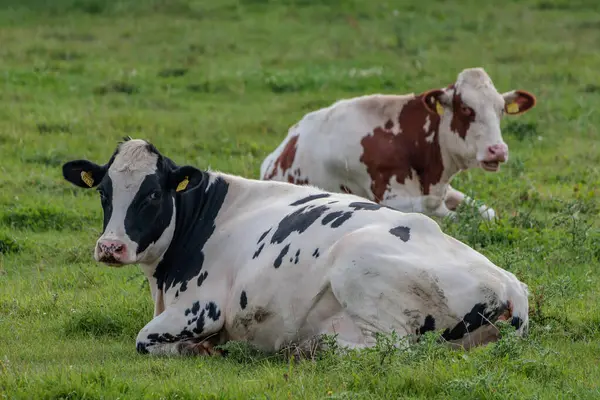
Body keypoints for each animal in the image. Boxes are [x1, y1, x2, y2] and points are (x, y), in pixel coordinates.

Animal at [61, 138, 528, 356]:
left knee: (393, 347)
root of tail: (511, 285)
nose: (110, 247)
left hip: (356, 266)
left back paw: (310, 348)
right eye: (103, 192)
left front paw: (197, 349)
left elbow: (144, 339)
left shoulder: (202, 309)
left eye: (153, 195)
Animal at [260, 67, 536, 220]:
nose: (497, 150)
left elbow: (488, 212)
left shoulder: (444, 189)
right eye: (467, 109)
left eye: (501, 110)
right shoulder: (390, 199)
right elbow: (438, 209)